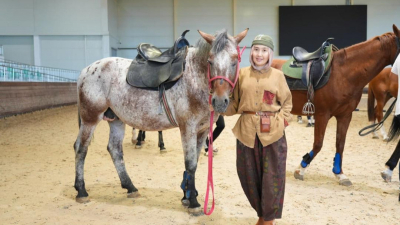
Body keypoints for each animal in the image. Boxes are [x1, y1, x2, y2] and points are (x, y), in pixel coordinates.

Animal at [72, 29, 247, 214]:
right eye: (210, 61)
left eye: (235, 61)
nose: (220, 101)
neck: (194, 78)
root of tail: (86, 70)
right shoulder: (188, 128)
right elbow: (190, 163)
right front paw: (193, 202)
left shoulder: (203, 130)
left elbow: (195, 162)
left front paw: (187, 195)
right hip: (90, 118)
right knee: (81, 148)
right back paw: (81, 191)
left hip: (116, 120)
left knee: (115, 150)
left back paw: (130, 187)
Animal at [272, 24, 400, 186]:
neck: (344, 74)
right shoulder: (322, 114)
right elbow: (318, 144)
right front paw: (301, 169)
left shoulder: (345, 115)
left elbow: (340, 144)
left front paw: (339, 173)